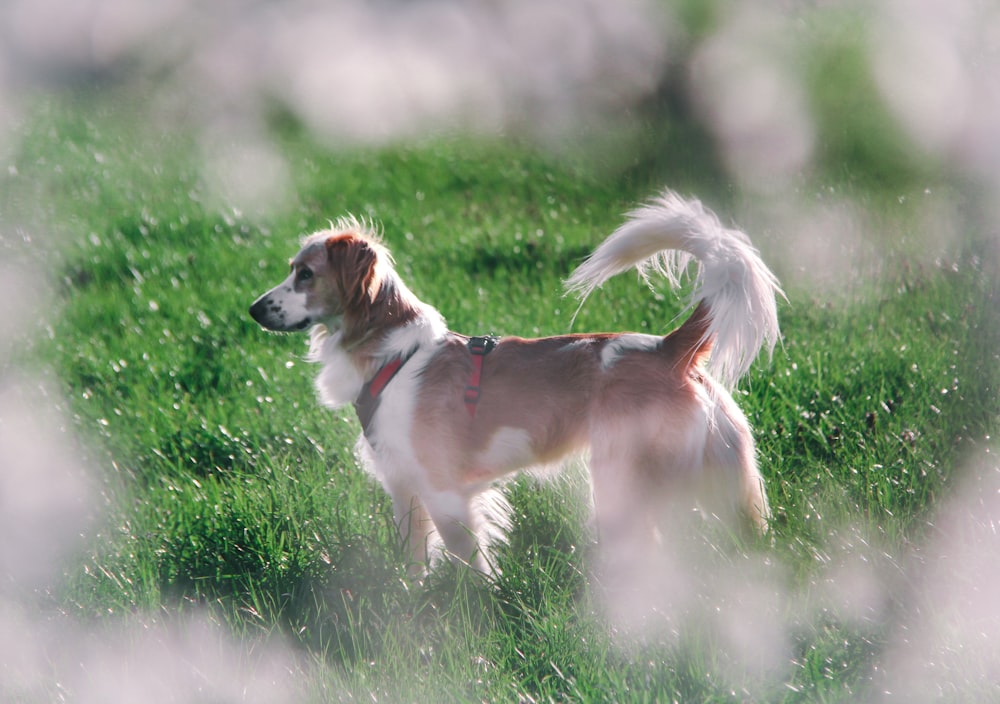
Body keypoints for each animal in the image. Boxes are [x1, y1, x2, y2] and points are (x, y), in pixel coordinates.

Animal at [250, 191, 780, 572]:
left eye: (305, 274)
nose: (253, 309)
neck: (393, 357)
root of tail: (672, 348)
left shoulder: (446, 492)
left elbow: (470, 566)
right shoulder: (405, 489)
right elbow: (413, 561)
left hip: (624, 479)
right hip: (722, 485)